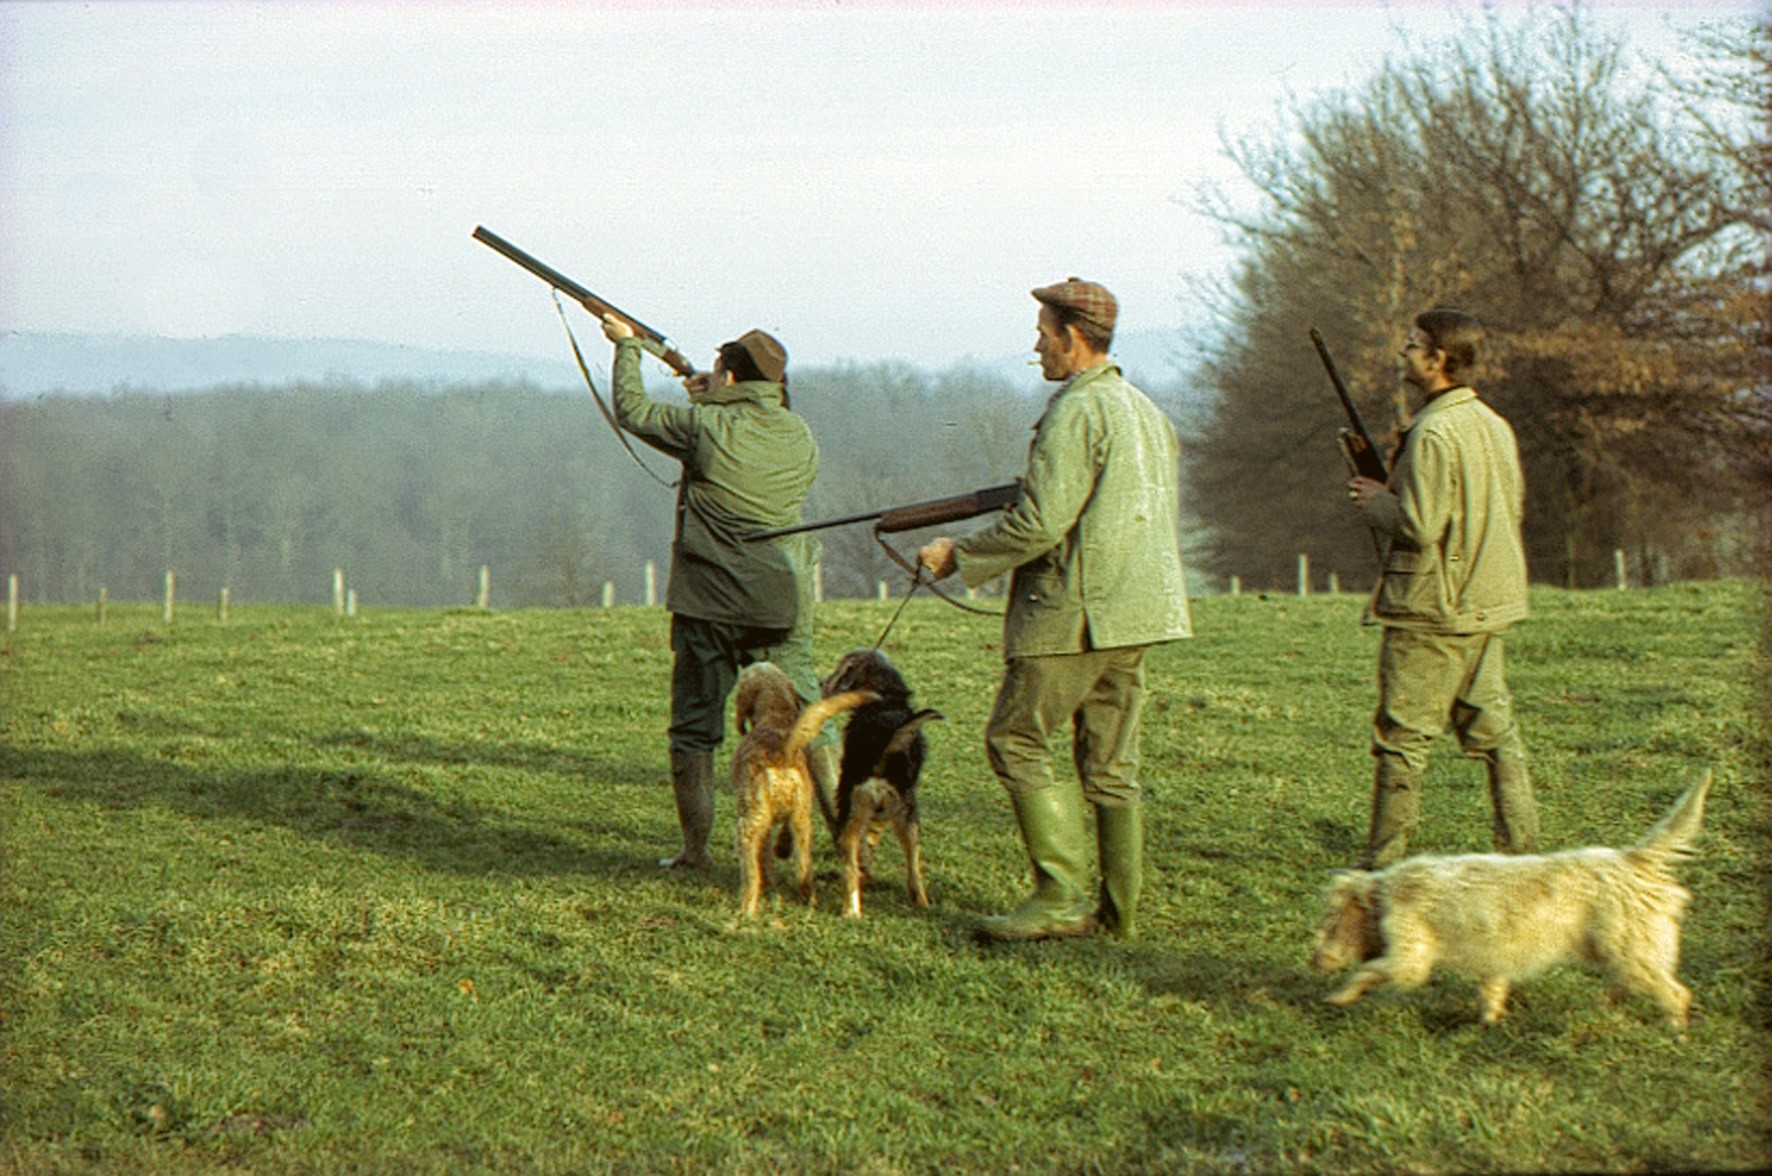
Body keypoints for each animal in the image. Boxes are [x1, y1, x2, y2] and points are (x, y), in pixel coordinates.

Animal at [730, 662, 875, 920]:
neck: (774, 716)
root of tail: (782, 753)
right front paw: (780, 853)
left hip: (749, 825)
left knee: (752, 877)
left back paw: (747, 911)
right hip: (802, 824)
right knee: (803, 874)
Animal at [822, 651, 949, 920]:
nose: (822, 683)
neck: (887, 699)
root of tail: (885, 742)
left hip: (853, 807)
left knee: (850, 865)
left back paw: (851, 910)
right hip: (907, 813)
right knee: (914, 870)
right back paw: (922, 905)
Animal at [1311, 768, 1708, 1027]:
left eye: (1330, 925)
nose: (1315, 961)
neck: (1385, 893)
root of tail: (1634, 859)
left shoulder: (1410, 958)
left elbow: (1369, 972)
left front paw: (1338, 996)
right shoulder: (1493, 961)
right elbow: (1492, 989)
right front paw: (1487, 1020)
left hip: (1633, 950)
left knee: (1675, 993)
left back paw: (1674, 1030)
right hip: (1616, 949)